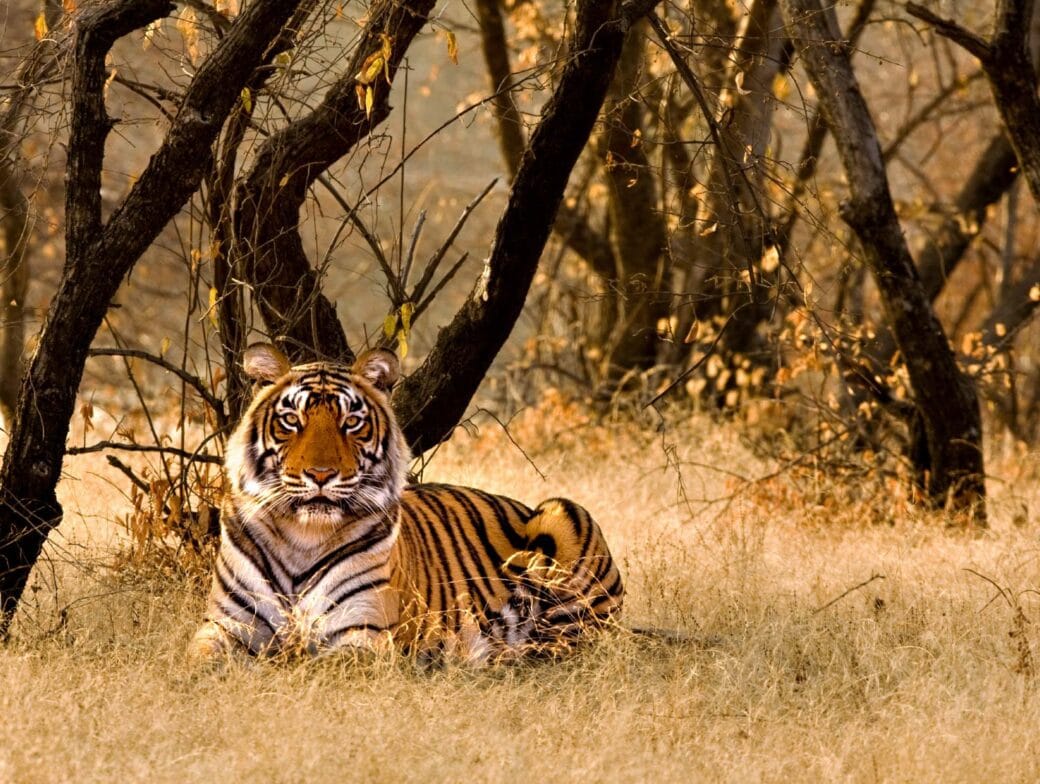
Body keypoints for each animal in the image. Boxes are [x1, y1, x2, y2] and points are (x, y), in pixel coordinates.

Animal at [191, 342, 623, 665]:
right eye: (292, 421)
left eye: (351, 422)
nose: (320, 474)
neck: (303, 536)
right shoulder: (225, 626)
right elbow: (198, 662)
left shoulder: (361, 633)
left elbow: (319, 667)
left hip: (564, 514)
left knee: (573, 643)